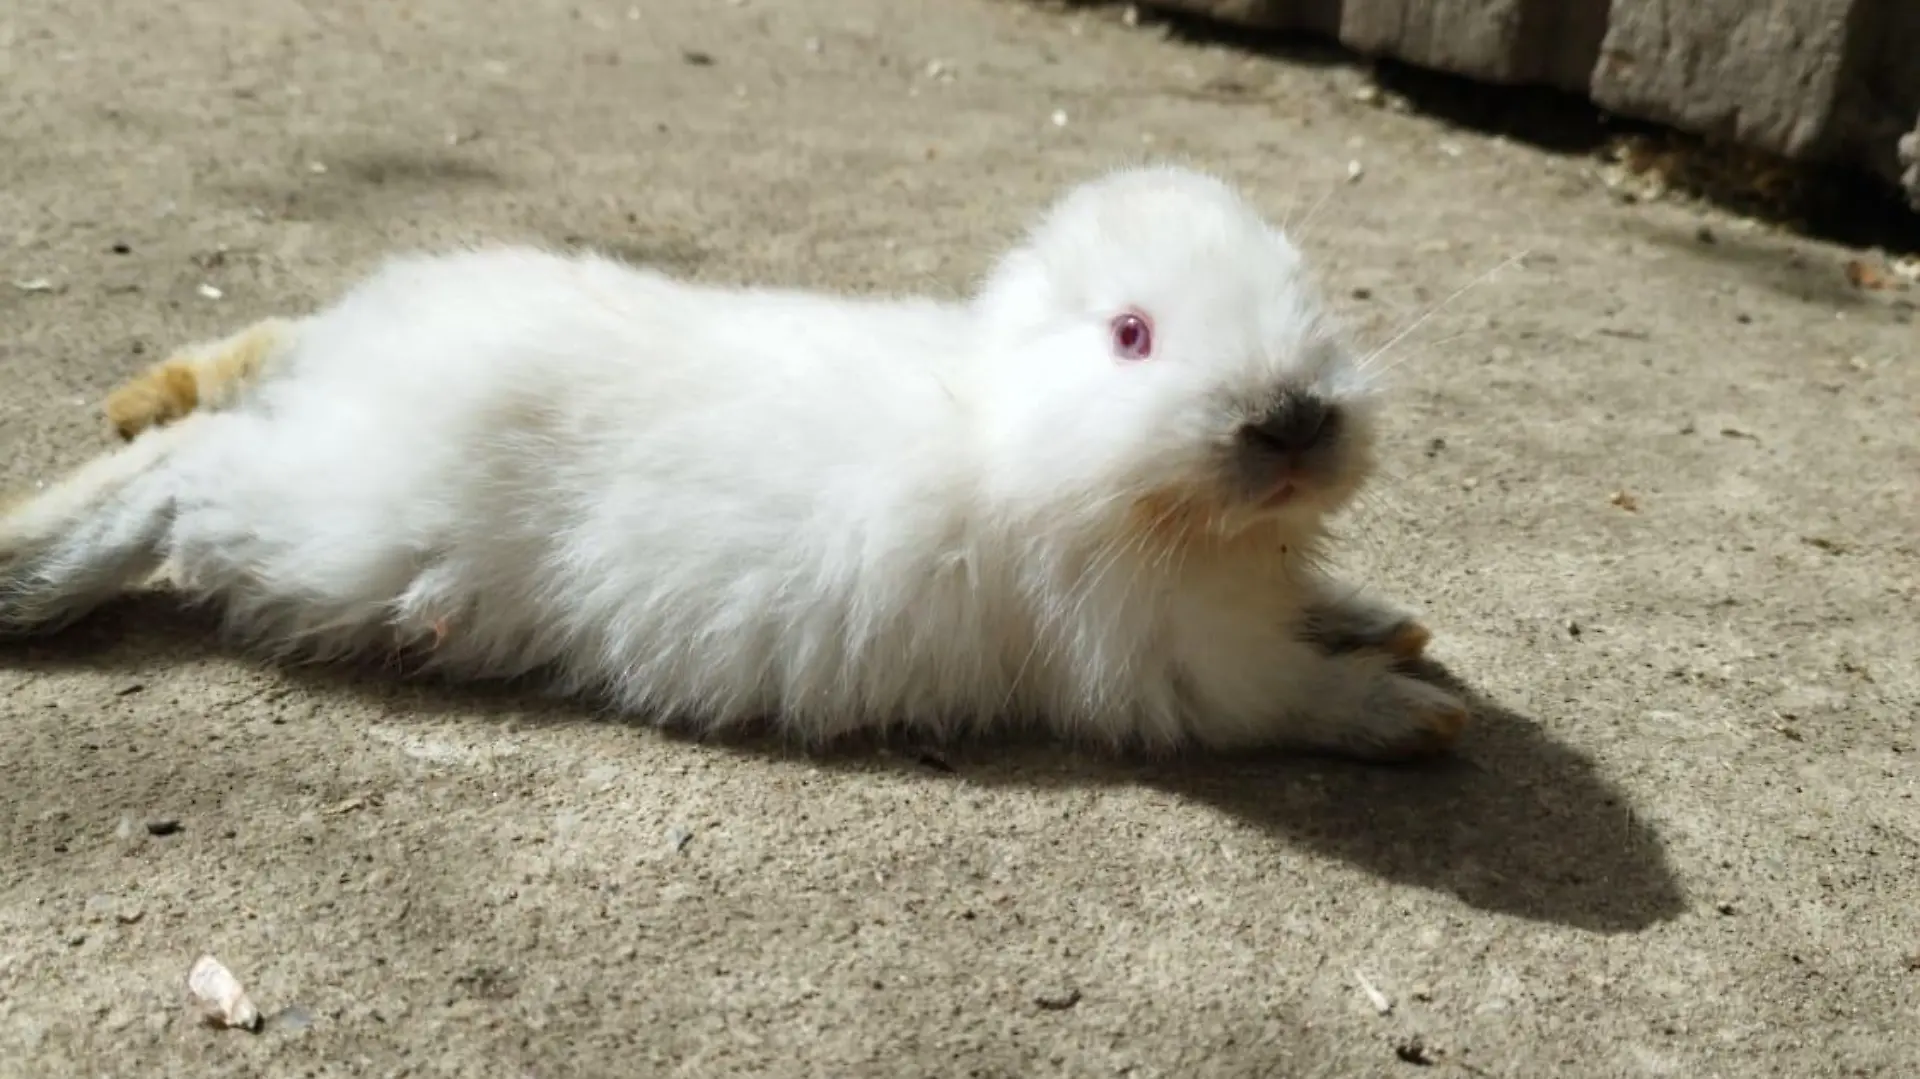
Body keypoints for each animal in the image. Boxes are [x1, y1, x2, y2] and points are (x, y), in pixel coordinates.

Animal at [0, 164, 1465, 760]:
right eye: (1132, 333)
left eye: (1306, 291)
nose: (1293, 418)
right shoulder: (1190, 673)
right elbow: (1301, 700)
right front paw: (1415, 717)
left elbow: (1328, 613)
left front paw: (1395, 623)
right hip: (339, 533)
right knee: (188, 474)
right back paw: (32, 564)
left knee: (251, 364)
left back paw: (143, 395)